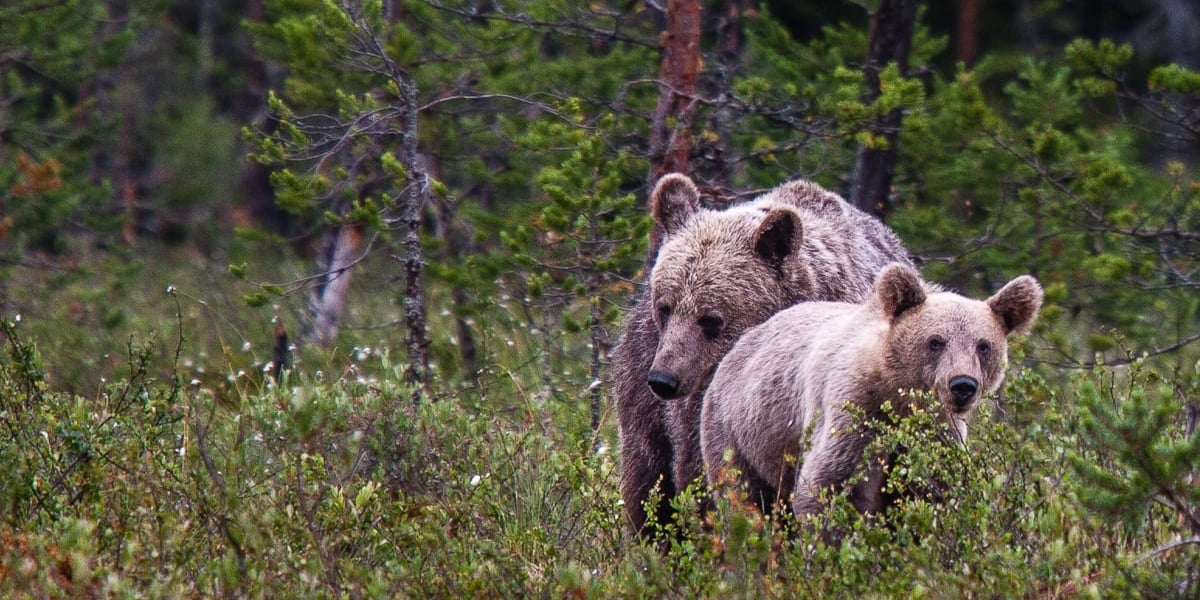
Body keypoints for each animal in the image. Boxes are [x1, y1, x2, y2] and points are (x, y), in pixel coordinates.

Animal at [700, 265, 1041, 518]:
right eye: (936, 341)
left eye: (983, 346)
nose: (962, 386)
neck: (896, 394)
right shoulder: (854, 408)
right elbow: (824, 485)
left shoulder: (935, 433)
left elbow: (933, 494)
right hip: (737, 430)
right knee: (743, 497)